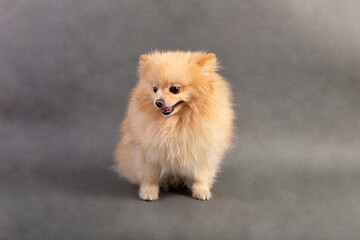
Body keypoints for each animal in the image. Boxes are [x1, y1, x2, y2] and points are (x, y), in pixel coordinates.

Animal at [114, 50, 235, 201]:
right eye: (154, 89)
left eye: (174, 89)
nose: (158, 102)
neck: (175, 121)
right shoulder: (148, 151)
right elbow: (150, 176)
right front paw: (148, 192)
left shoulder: (204, 149)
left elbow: (201, 175)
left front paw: (201, 191)